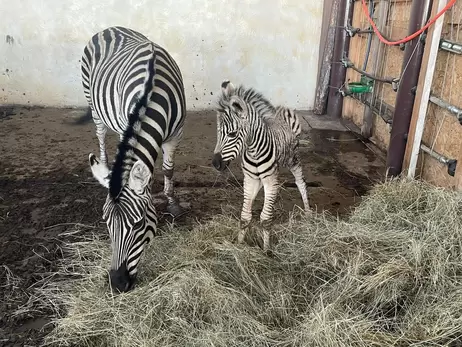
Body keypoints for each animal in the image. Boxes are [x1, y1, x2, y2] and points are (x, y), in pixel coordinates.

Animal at [79, 27, 186, 294]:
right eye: (106, 223)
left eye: (138, 225)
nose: (117, 284)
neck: (152, 92)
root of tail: (110, 28)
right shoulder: (124, 123)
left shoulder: (176, 135)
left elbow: (168, 169)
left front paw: (172, 202)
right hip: (95, 105)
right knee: (100, 133)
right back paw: (104, 164)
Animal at [213, 80, 310, 254]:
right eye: (218, 132)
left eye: (232, 134)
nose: (215, 164)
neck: (253, 151)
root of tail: (282, 118)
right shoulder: (250, 179)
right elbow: (245, 216)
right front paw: (239, 244)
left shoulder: (270, 180)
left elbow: (265, 219)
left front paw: (266, 251)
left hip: (293, 161)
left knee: (301, 183)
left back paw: (308, 213)